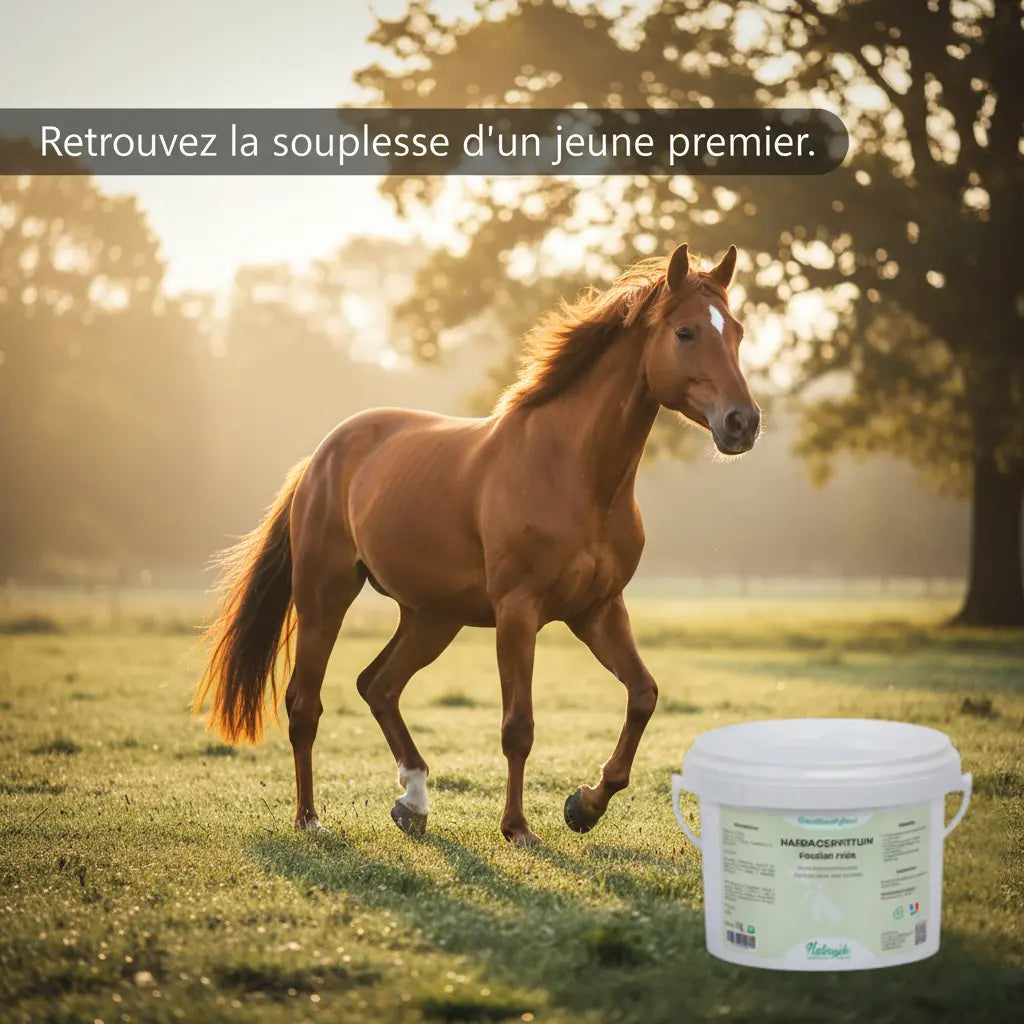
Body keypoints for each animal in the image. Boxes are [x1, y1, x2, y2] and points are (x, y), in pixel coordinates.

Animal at [195, 243, 760, 845]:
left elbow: (643, 696)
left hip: (431, 617)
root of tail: (320, 458)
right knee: (306, 704)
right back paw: (310, 819)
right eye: (685, 332)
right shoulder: (518, 612)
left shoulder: (598, 611)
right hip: (326, 598)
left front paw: (584, 806)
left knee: (378, 685)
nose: (743, 422)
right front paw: (518, 827)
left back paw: (413, 801)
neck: (574, 472)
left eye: (738, 332)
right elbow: (519, 726)